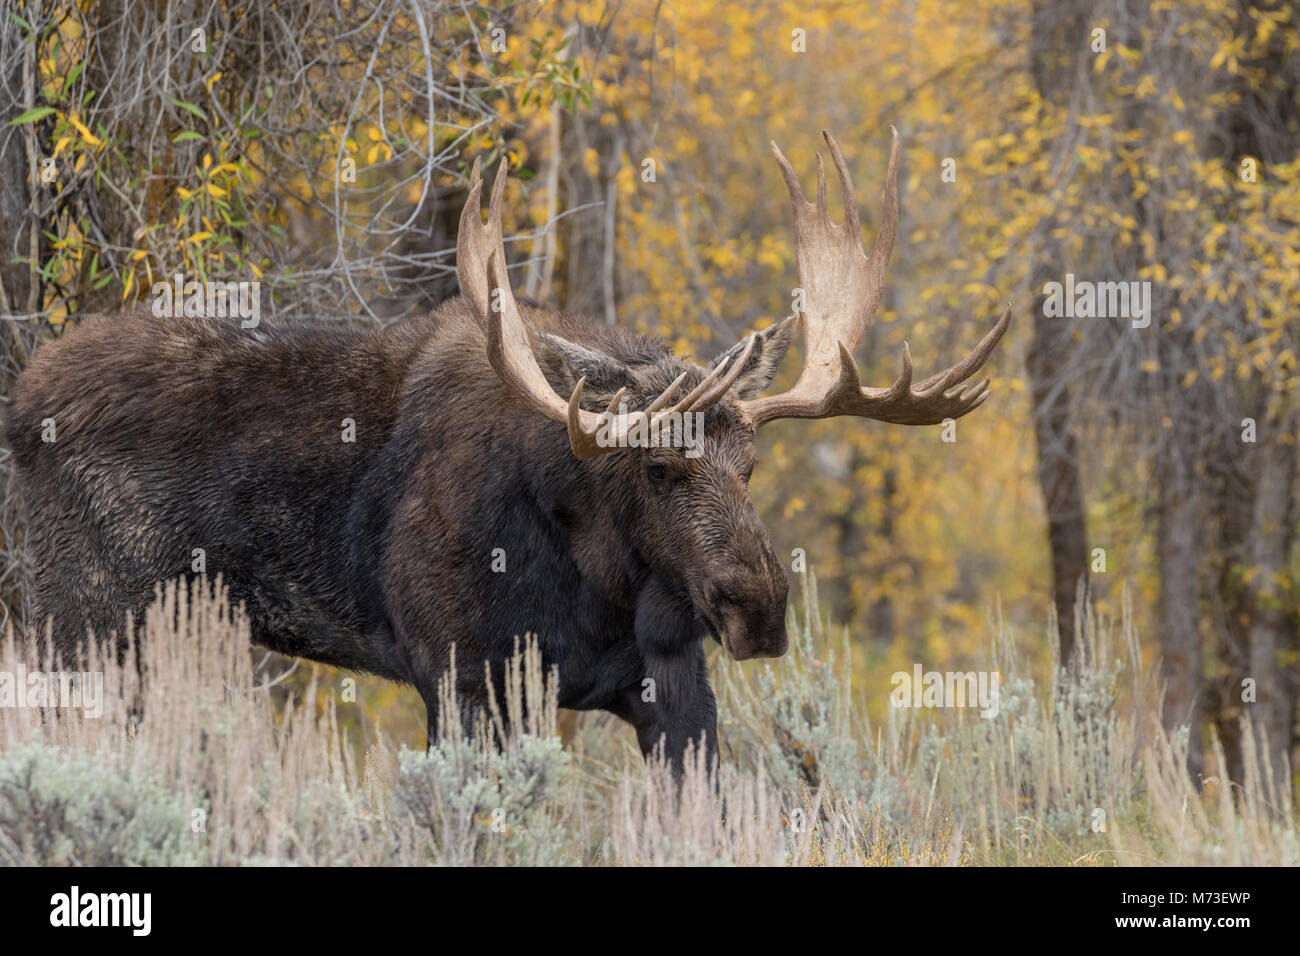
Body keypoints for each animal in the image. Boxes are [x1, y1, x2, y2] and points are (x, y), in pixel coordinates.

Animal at [7, 128, 1009, 769]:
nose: (759, 608)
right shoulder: (461, 678)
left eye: (752, 467)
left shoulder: (675, 690)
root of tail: (22, 403)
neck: (599, 585)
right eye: (658, 468)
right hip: (82, 620)